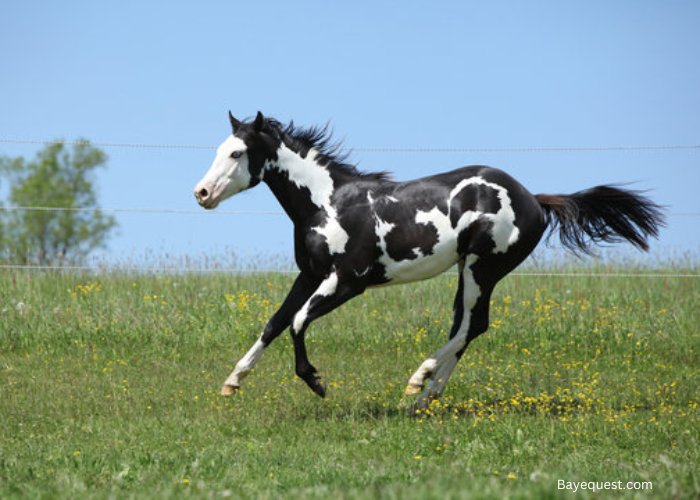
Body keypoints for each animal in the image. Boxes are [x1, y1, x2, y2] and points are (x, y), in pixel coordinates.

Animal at [194, 111, 664, 408]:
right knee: (465, 326)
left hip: (481, 268)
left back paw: (418, 380)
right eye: (219, 148)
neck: (328, 203)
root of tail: (534, 199)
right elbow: (274, 322)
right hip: (470, 271)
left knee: (473, 325)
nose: (201, 193)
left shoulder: (348, 281)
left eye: (237, 153)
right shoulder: (309, 275)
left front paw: (316, 382)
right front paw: (232, 382)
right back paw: (425, 397)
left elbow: (296, 322)